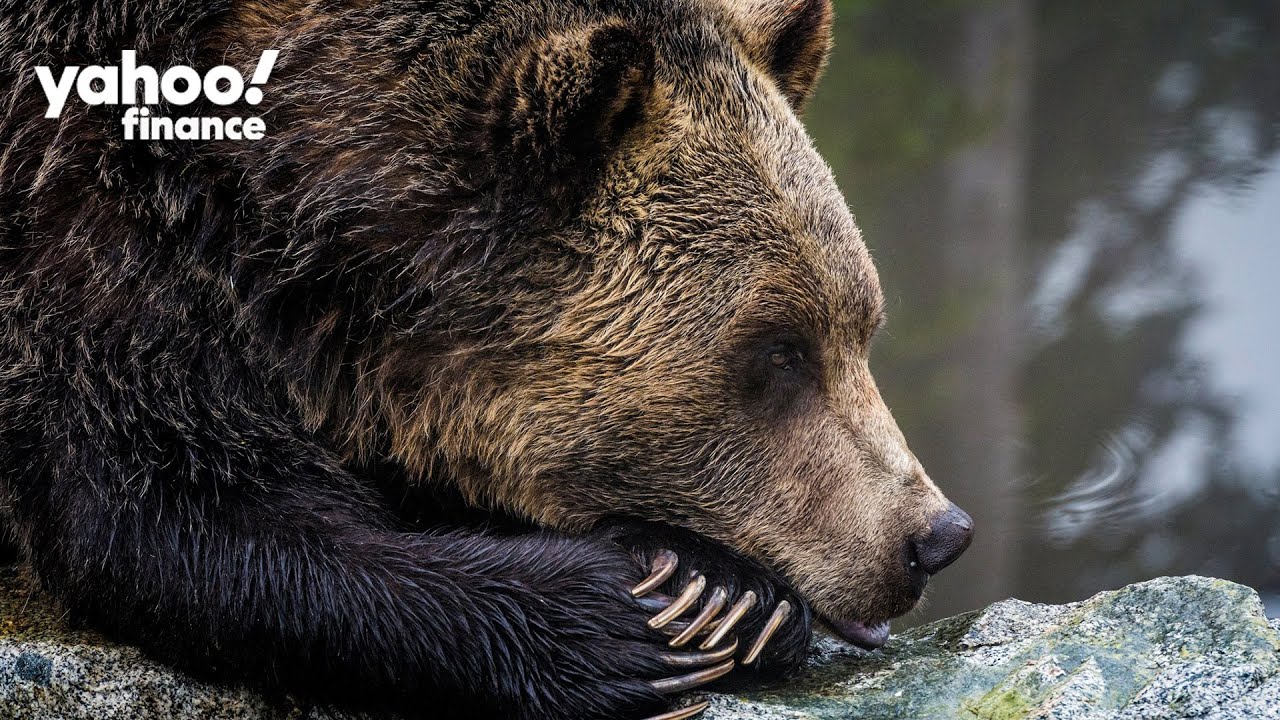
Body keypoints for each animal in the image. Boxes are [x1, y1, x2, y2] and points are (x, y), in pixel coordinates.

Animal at [0, 0, 974, 718]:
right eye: (777, 352)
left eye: (861, 325)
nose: (934, 537)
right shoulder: (90, 250)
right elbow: (180, 519)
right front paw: (636, 618)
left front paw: (724, 590)